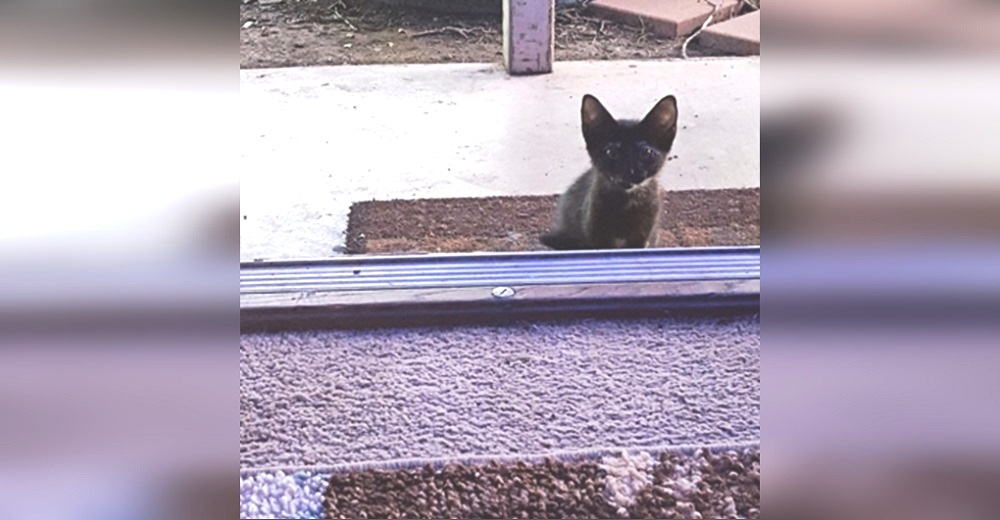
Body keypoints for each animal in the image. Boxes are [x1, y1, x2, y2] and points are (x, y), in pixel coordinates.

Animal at [540, 94, 680, 251]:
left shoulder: (643, 235)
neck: (625, 202)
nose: (629, 171)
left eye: (646, 153)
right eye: (611, 152)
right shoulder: (595, 230)